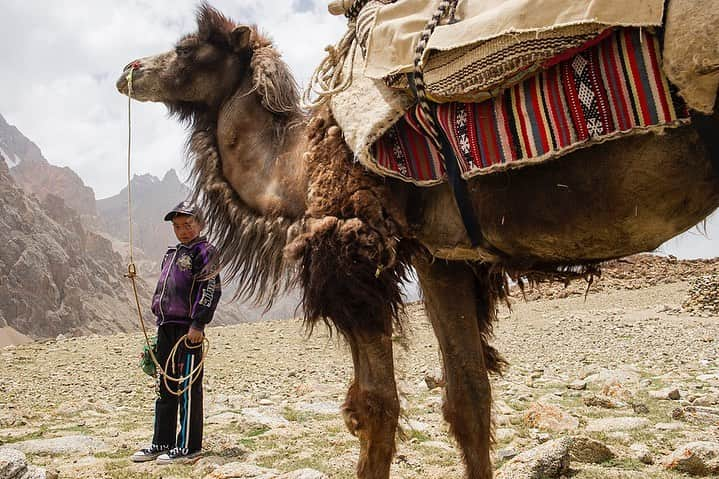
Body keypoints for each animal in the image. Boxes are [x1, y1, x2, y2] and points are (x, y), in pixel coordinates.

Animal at [116, 4, 719, 479]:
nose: (128, 70)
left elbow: (376, 406)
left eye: (188, 48)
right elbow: (468, 398)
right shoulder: (444, 256)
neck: (294, 164)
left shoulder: (357, 260)